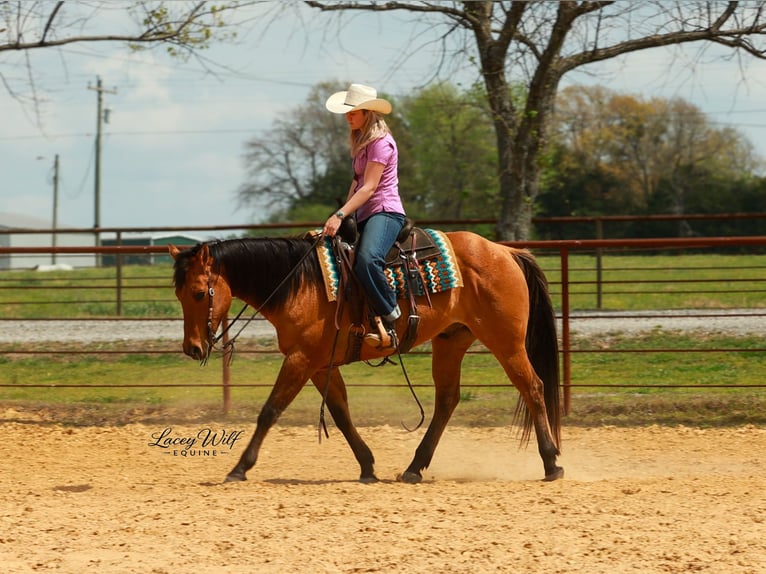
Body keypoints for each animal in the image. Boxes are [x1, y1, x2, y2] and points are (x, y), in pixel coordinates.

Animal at [169, 230, 563, 483]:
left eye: (199, 293)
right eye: (178, 294)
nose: (192, 348)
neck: (300, 284)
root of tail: (504, 251)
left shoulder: (300, 359)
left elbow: (270, 410)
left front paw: (240, 468)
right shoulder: (319, 364)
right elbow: (341, 413)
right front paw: (368, 466)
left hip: (506, 342)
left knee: (533, 387)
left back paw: (551, 462)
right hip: (451, 341)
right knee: (447, 400)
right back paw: (414, 468)